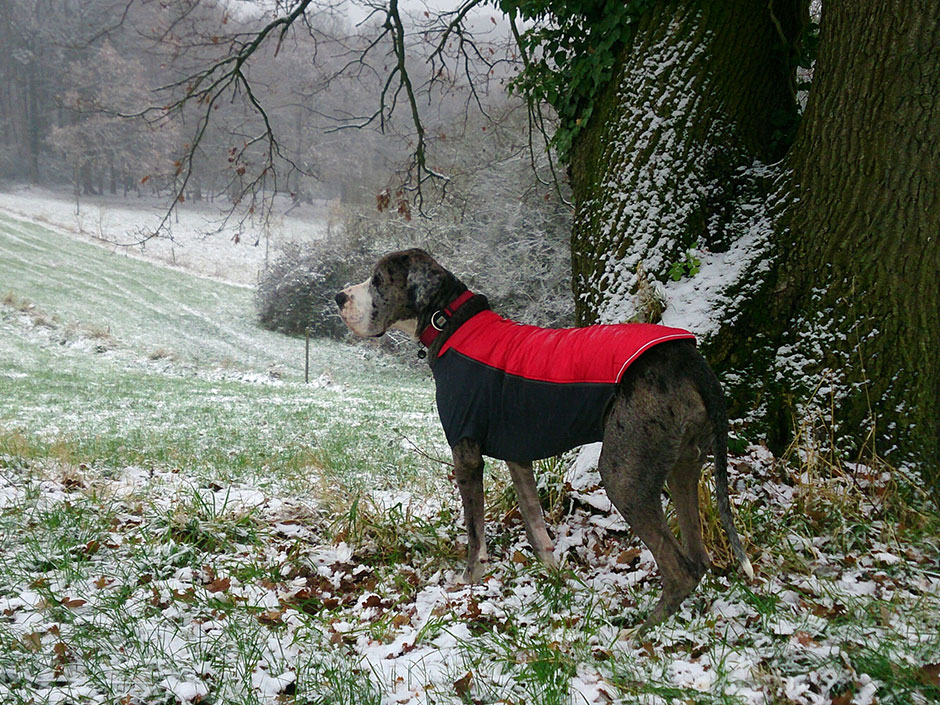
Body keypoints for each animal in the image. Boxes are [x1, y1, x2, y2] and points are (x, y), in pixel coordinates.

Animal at [334, 248, 752, 628]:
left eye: (378, 280)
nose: (340, 297)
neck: (450, 322)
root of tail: (687, 356)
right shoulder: (518, 457)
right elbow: (535, 521)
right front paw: (553, 574)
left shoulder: (466, 453)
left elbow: (474, 530)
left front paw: (468, 581)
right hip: (684, 465)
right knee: (698, 559)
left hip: (624, 475)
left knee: (679, 568)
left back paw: (640, 632)